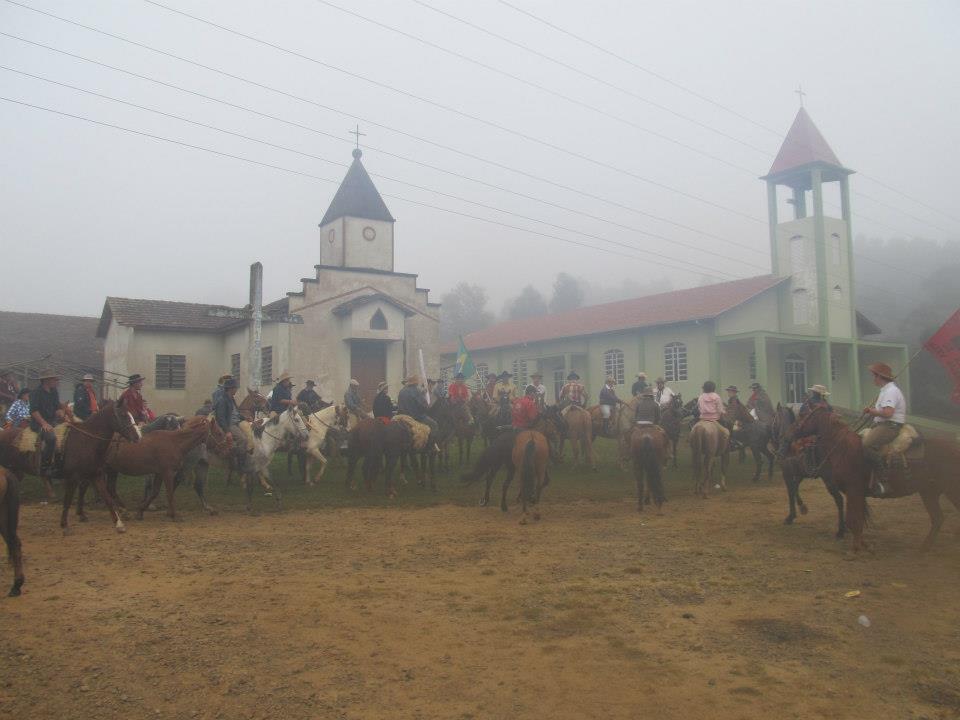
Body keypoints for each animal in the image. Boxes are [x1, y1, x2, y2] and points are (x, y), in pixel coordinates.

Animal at [772, 402, 848, 536]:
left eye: (775, 418)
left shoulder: (787, 473)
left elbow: (791, 491)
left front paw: (791, 516)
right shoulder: (801, 474)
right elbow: (795, 488)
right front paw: (801, 508)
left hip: (830, 481)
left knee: (839, 499)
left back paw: (841, 530)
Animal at [784, 404, 960, 552]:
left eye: (803, 415)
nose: (788, 435)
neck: (842, 449)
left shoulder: (854, 490)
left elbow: (853, 519)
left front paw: (855, 548)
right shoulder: (857, 493)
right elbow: (858, 518)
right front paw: (862, 544)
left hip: (951, 490)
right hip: (929, 492)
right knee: (937, 518)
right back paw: (923, 548)